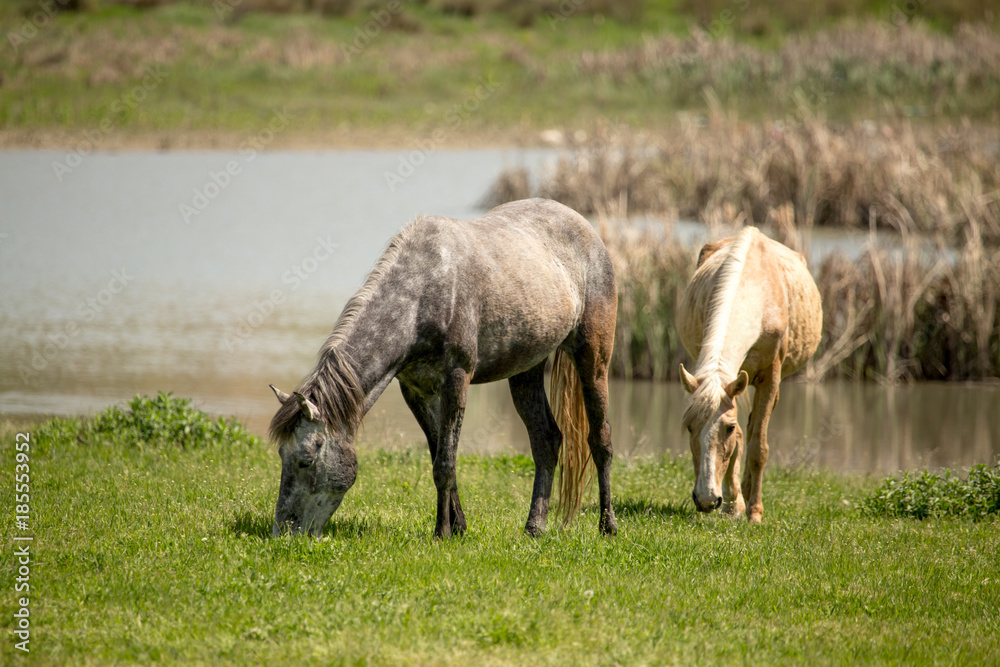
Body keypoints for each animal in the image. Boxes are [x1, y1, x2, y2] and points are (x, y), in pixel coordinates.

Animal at [268, 198, 619, 538]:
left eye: (305, 461)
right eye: (281, 456)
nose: (282, 532)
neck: (421, 296)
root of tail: (587, 228)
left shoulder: (456, 381)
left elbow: (445, 464)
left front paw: (442, 532)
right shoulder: (416, 390)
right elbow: (438, 454)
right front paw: (458, 526)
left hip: (593, 361)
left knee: (600, 441)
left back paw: (607, 525)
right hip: (526, 372)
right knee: (546, 441)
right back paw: (534, 527)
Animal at [676, 226, 822, 523]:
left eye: (727, 428)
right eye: (689, 426)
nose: (706, 500)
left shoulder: (770, 377)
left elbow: (758, 447)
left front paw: (754, 512)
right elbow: (742, 440)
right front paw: (734, 506)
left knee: (756, 428)